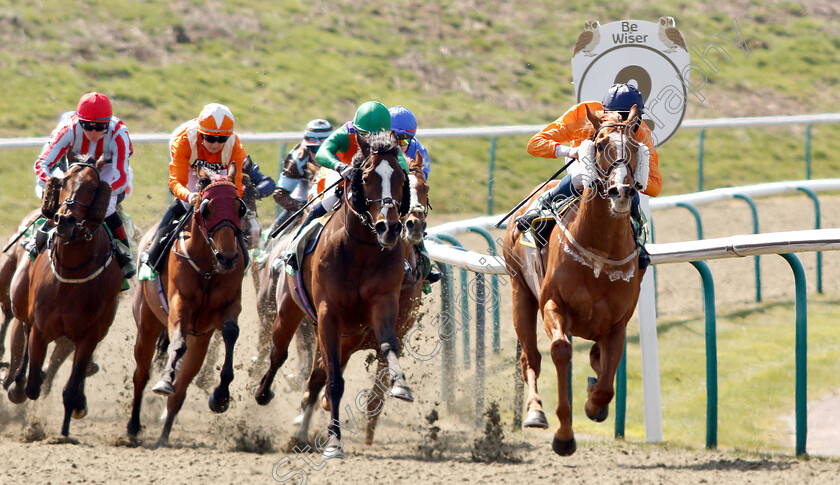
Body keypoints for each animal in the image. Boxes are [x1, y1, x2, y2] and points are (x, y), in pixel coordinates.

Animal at [4, 150, 120, 434]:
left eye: (92, 186)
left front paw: (66, 429)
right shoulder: (41, 329)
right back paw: (16, 382)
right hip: (21, 301)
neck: (71, 275)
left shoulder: (89, 336)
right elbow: (33, 383)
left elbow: (70, 388)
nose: (65, 219)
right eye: (64, 181)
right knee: (23, 332)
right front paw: (19, 388)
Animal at [128, 164, 246, 444]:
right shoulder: (179, 305)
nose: (227, 257)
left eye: (240, 208)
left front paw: (220, 396)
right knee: (141, 375)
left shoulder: (228, 307)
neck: (207, 268)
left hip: (200, 342)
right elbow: (178, 343)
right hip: (147, 323)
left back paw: (163, 438)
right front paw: (164, 381)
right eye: (207, 208)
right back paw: (134, 427)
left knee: (181, 389)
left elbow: (230, 332)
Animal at [254, 130, 416, 458]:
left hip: (347, 334)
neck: (360, 249)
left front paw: (401, 385)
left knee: (317, 374)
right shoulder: (329, 313)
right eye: (366, 176)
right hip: (288, 308)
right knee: (278, 352)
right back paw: (263, 393)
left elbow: (389, 345)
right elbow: (335, 381)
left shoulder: (382, 306)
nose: (390, 228)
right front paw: (333, 443)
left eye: (401, 177)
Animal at [290, 153, 434, 444]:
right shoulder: (335, 323)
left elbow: (378, 388)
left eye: (424, 187)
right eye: (407, 187)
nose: (412, 225)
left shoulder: (392, 330)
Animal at [506, 105, 648, 454]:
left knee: (595, 358)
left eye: (635, 145)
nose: (621, 191)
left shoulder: (617, 323)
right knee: (530, 357)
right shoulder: (553, 303)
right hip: (520, 292)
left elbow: (608, 379)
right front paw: (564, 435)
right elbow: (560, 351)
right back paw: (535, 412)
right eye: (598, 144)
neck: (599, 251)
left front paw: (595, 404)